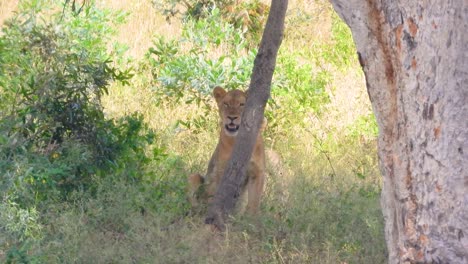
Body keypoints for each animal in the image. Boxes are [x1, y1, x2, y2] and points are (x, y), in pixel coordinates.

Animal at [187, 86, 266, 214]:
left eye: (241, 104)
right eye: (226, 104)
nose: (232, 117)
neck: (236, 140)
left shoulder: (257, 172)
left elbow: (254, 202)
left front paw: (250, 218)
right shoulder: (222, 170)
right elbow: (218, 195)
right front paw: (216, 211)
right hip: (195, 177)